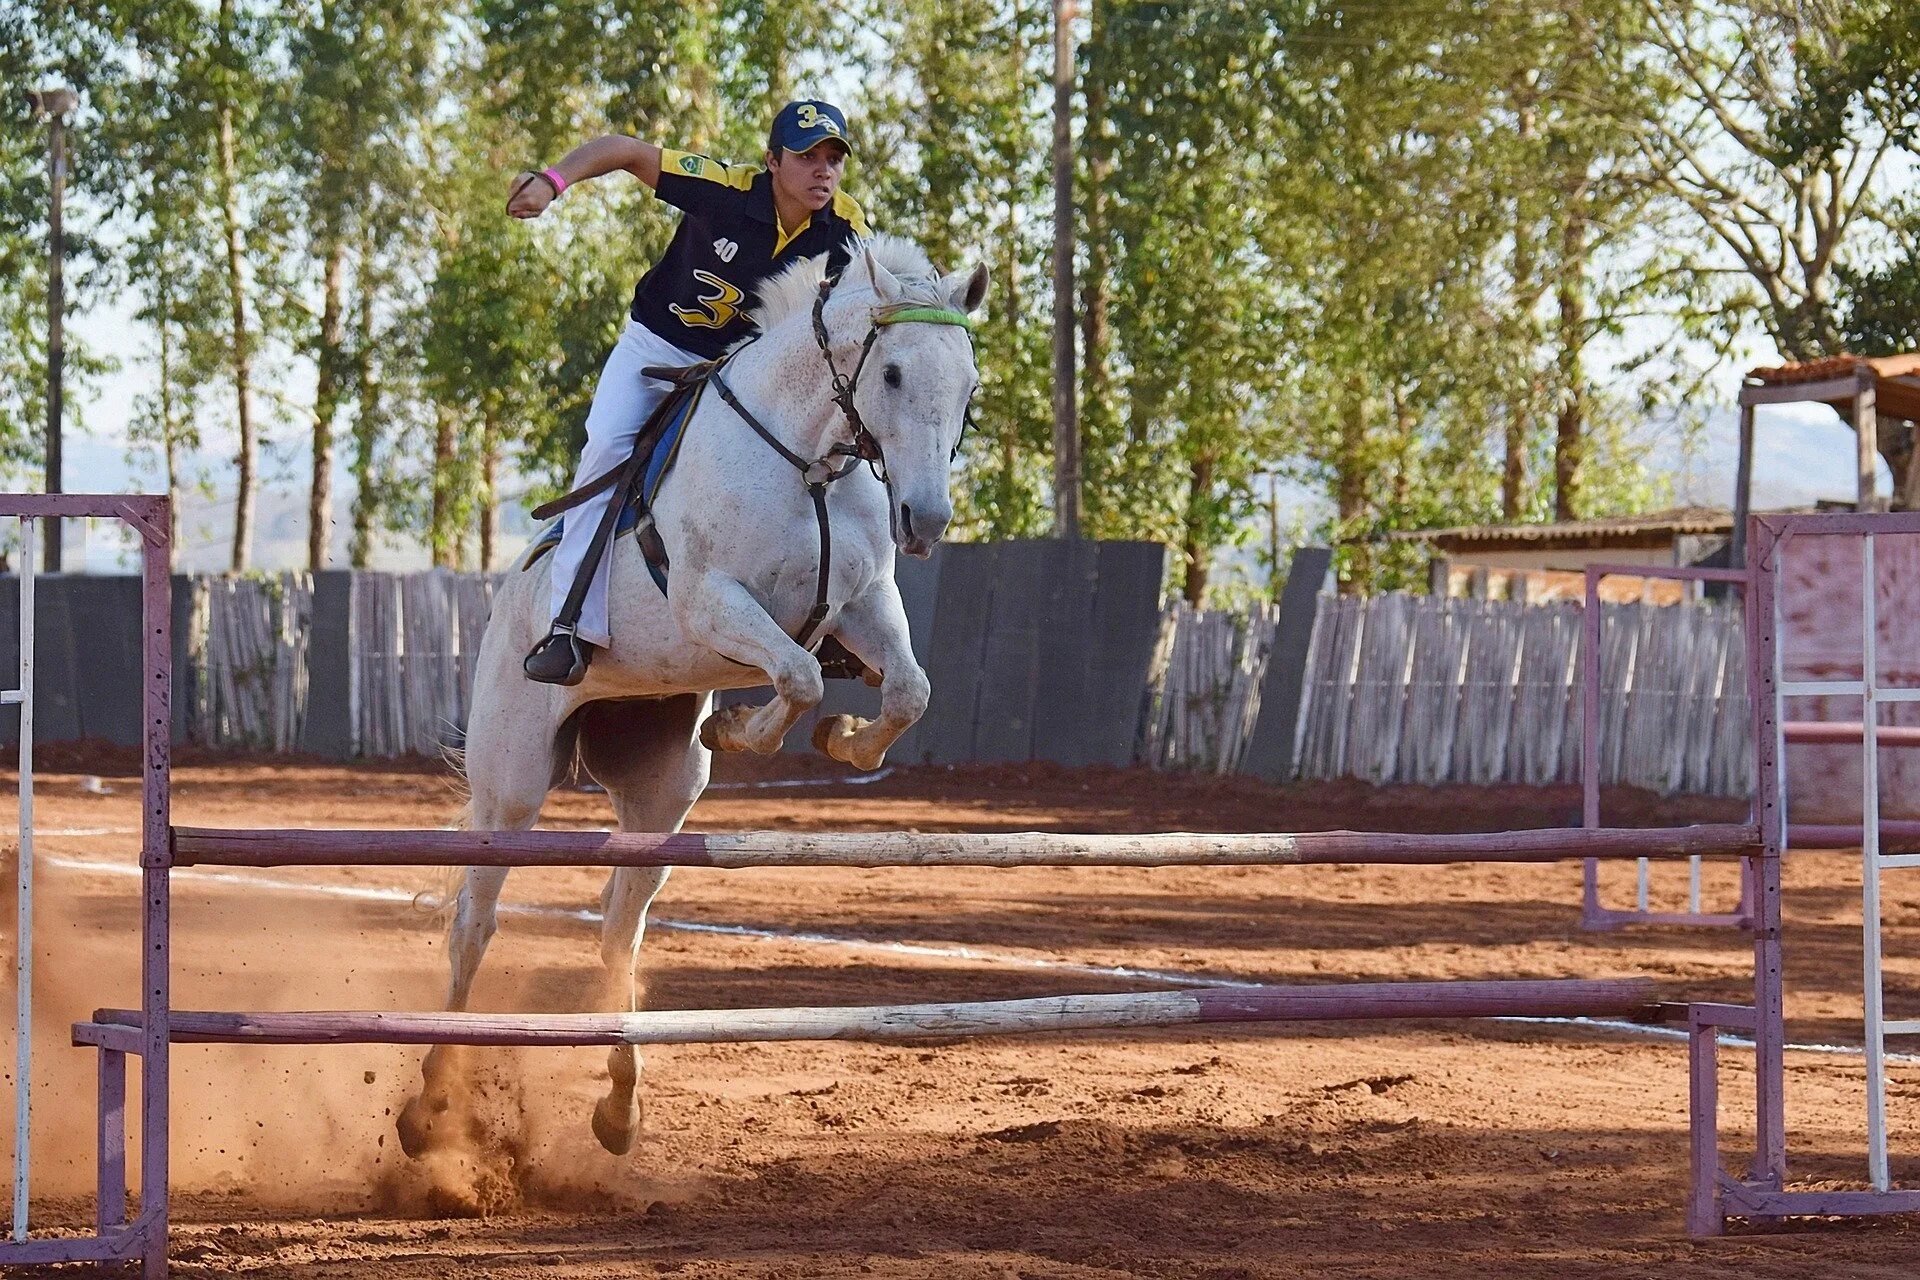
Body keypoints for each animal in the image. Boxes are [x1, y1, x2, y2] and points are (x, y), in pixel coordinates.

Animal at [397, 233, 983, 1159]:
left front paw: (840, 740)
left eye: (968, 385)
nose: (924, 521)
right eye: (890, 373)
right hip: (511, 782)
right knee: (474, 924)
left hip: (661, 798)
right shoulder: (711, 601)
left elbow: (907, 692)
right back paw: (430, 1108)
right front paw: (742, 729)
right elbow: (798, 672)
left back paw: (618, 1107)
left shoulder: (861, 603)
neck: (807, 458)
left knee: (618, 929)